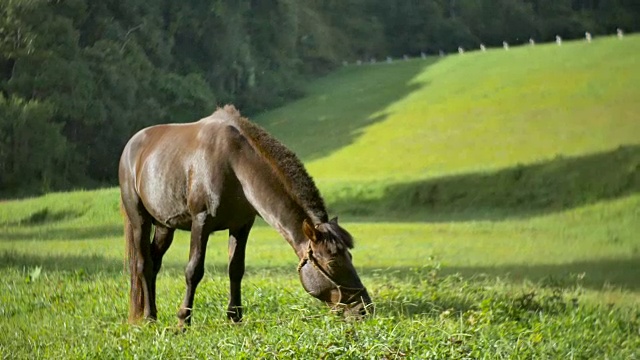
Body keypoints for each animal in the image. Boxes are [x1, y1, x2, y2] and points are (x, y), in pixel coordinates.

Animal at [117, 104, 372, 326]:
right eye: (333, 261)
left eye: (350, 256)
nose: (364, 308)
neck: (233, 164)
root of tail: (131, 145)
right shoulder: (201, 222)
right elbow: (193, 270)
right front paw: (183, 321)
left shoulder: (241, 225)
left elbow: (236, 269)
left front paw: (235, 318)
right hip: (140, 220)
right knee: (143, 264)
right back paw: (149, 317)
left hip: (164, 226)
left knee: (155, 262)